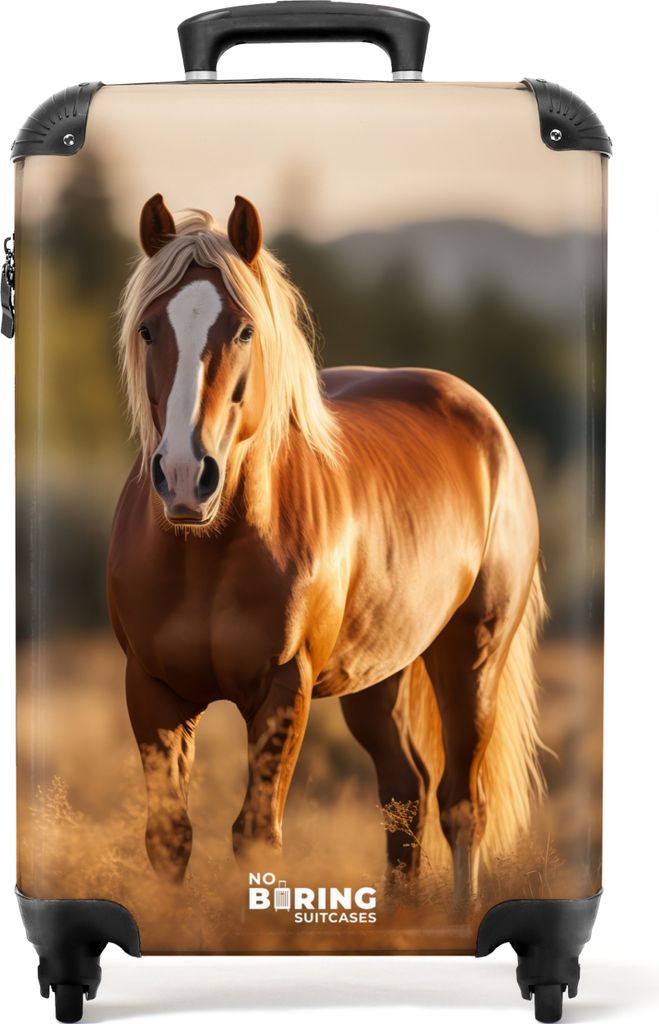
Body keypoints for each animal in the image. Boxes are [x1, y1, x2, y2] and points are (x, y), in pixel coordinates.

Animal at [108, 193, 546, 908]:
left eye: (244, 331)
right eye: (148, 329)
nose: (183, 476)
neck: (206, 553)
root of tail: (486, 424)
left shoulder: (285, 688)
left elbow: (257, 835)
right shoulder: (152, 688)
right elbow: (169, 839)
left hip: (471, 658)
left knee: (462, 805)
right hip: (379, 675)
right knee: (405, 794)